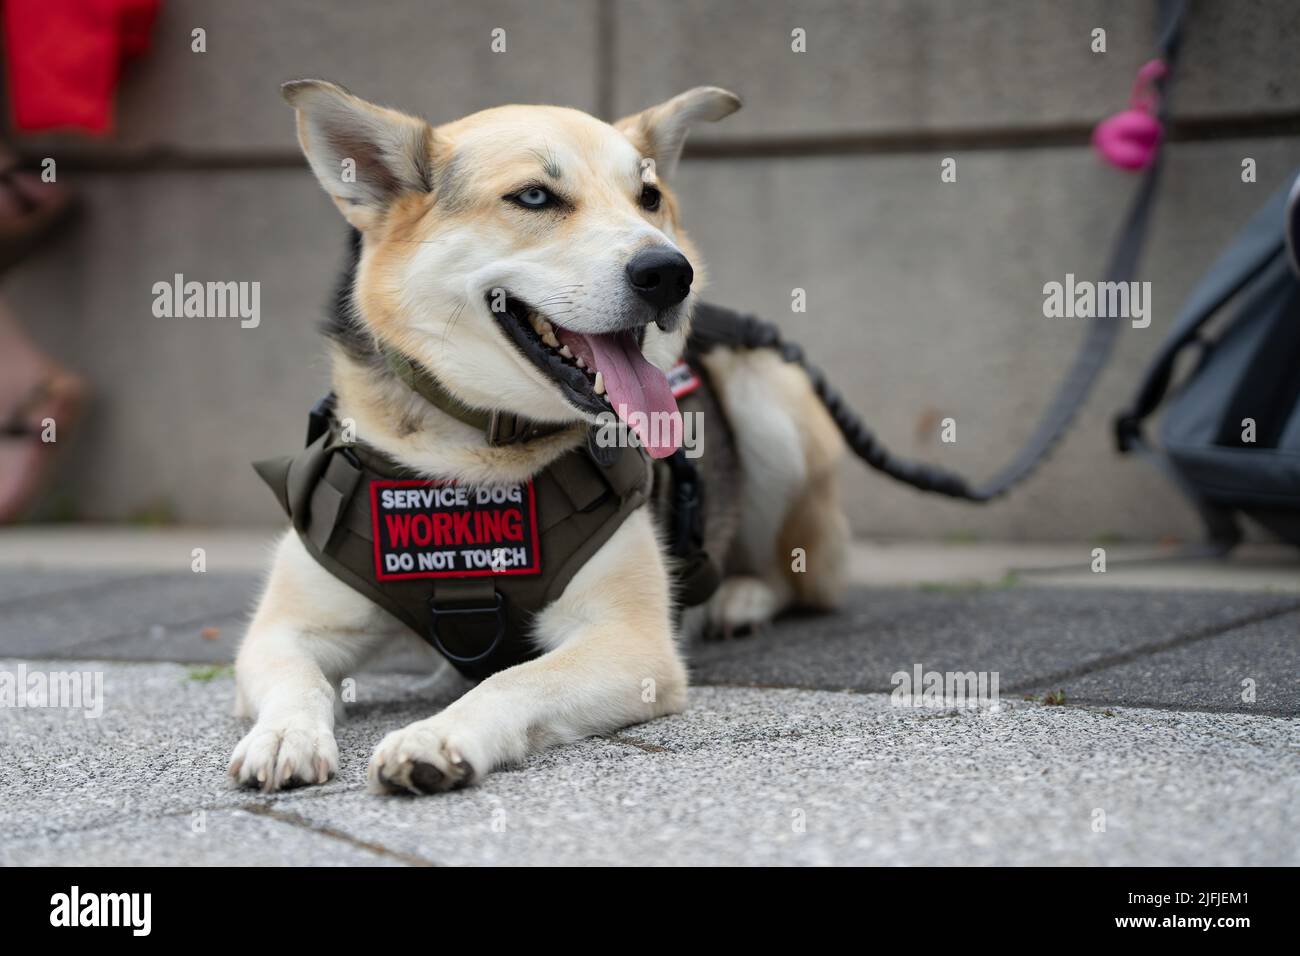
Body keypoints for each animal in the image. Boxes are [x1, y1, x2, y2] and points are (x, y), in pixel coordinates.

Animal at [228, 80, 847, 790]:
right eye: (533, 197)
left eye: (649, 196)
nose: (672, 272)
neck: (480, 449)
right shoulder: (285, 630)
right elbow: (295, 679)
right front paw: (284, 734)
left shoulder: (630, 644)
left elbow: (514, 680)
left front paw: (437, 736)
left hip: (765, 389)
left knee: (795, 575)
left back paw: (739, 597)